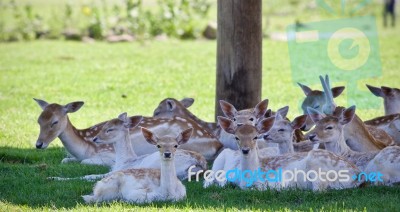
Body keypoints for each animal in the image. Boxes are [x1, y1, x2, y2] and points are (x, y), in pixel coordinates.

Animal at [203, 116, 362, 190]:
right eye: (237, 137)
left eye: (255, 136)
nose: (245, 149)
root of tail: (358, 177)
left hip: (317, 164)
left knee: (319, 188)